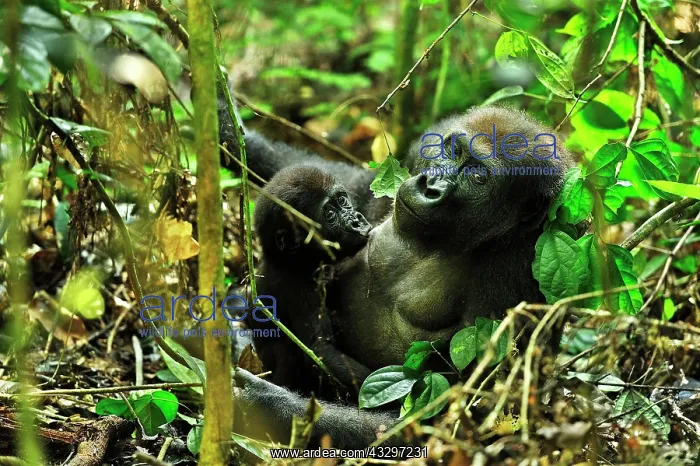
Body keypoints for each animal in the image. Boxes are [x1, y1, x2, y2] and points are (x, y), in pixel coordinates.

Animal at [221, 104, 574, 448]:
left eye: (478, 176)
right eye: (452, 150)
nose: (429, 186)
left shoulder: (516, 269)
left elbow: (457, 421)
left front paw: (265, 404)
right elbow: (349, 180)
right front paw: (227, 121)